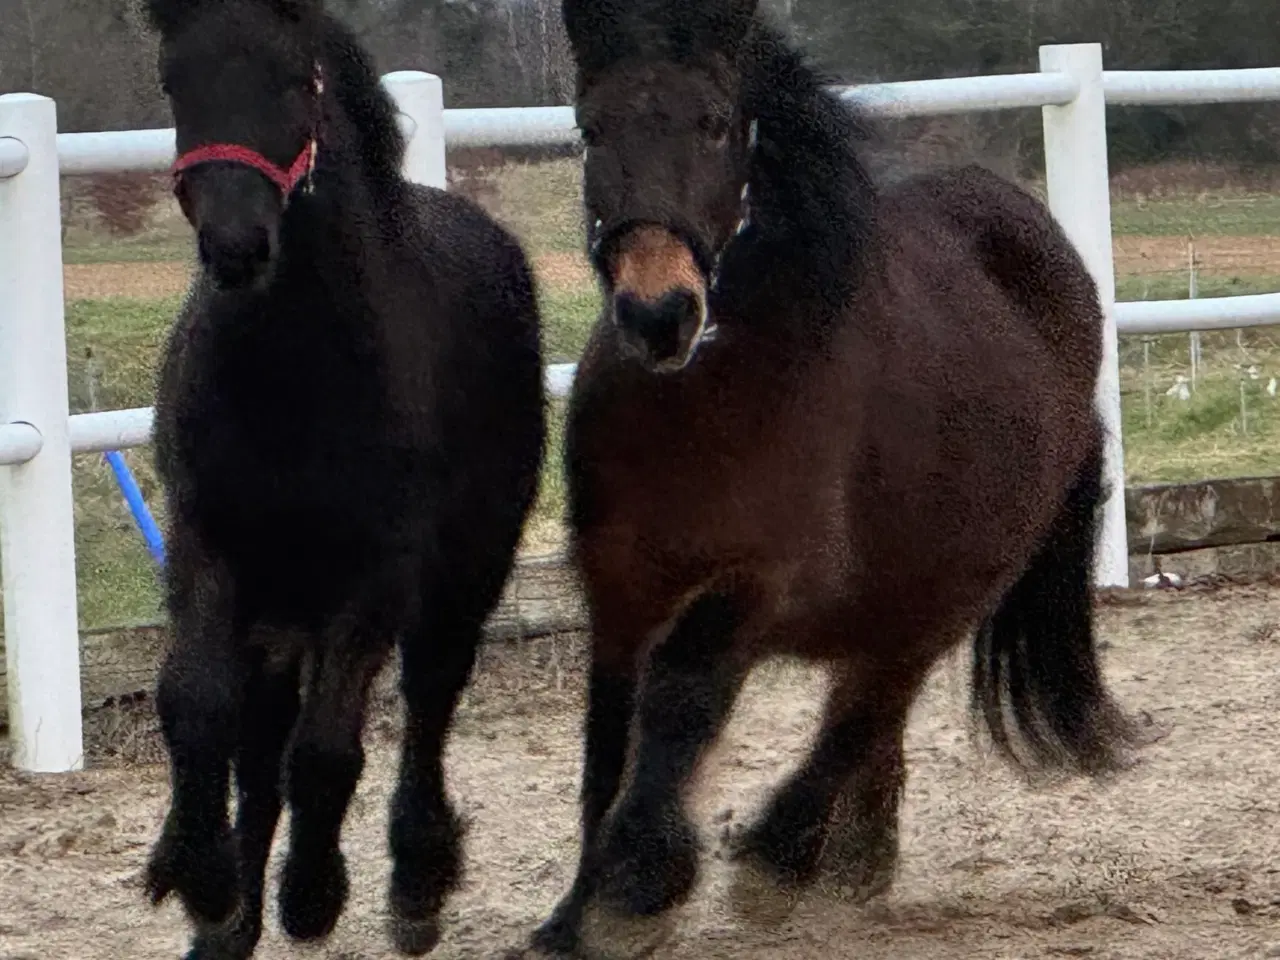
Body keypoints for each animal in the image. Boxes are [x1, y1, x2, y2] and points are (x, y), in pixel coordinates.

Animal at [142, 1, 547, 960]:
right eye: (175, 81)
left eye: (297, 78)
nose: (236, 246)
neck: (291, 376)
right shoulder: (208, 545)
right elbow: (197, 706)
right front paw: (205, 883)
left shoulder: (377, 573)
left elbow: (327, 749)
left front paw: (313, 895)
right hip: (281, 599)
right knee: (259, 736)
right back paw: (232, 922)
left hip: (469, 563)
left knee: (431, 696)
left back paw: (415, 885)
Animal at [519, 0, 1141, 957]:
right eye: (591, 128)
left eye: (715, 123)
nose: (659, 313)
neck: (708, 398)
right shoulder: (618, 583)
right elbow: (606, 741)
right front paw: (576, 912)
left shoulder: (763, 583)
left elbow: (680, 698)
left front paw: (638, 884)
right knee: (866, 706)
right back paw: (854, 861)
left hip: (950, 587)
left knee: (869, 706)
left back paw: (784, 859)